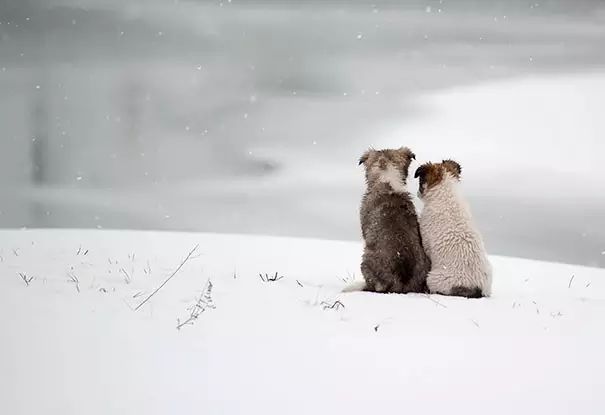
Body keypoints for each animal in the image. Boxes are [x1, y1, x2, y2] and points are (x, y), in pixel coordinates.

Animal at [412, 160, 494, 300]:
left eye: (421, 181)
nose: (417, 193)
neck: (447, 194)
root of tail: (478, 288)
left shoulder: (426, 238)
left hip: (435, 279)